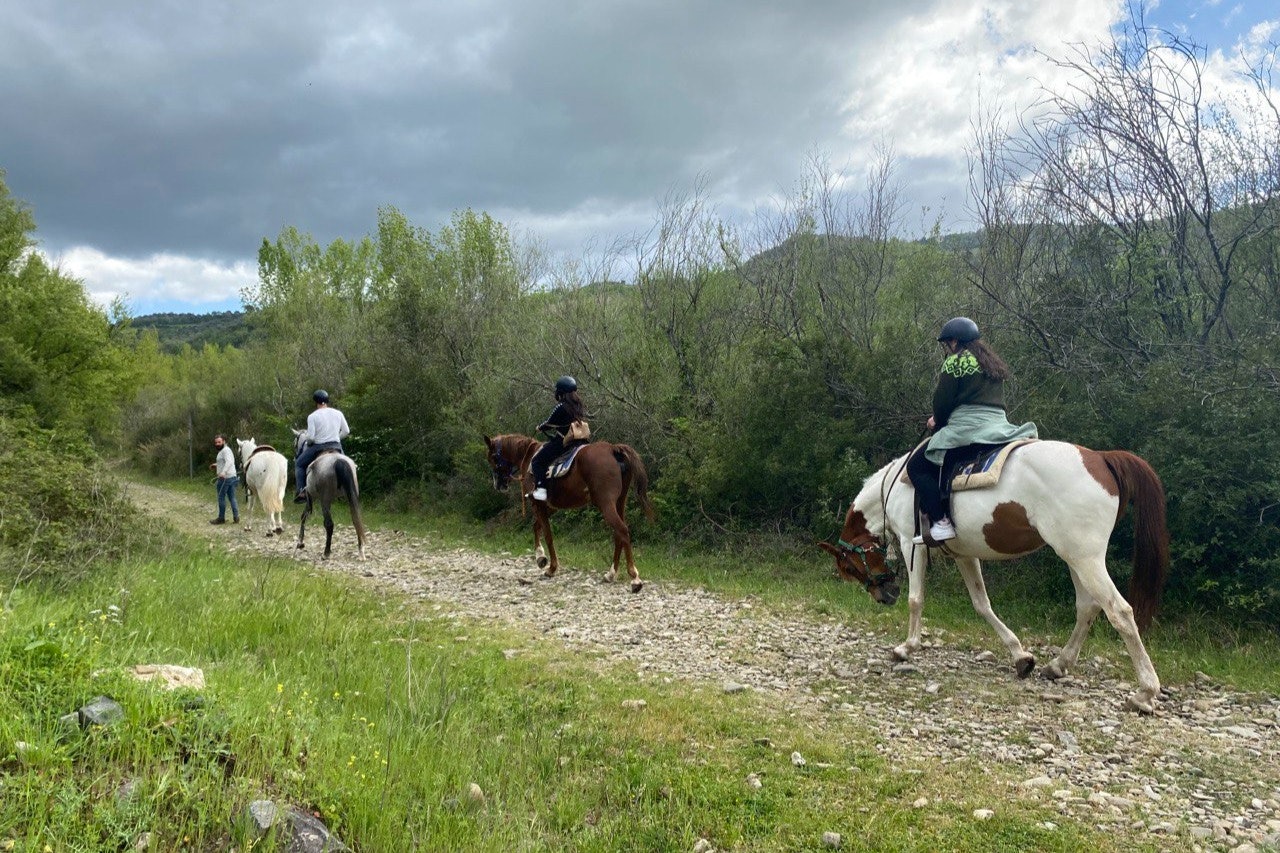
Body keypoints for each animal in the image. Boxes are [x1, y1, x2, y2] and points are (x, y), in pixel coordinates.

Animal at [292, 429, 367, 561]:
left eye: (295, 443)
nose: (296, 457)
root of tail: (338, 461)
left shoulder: (311, 496)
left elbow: (304, 516)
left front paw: (300, 543)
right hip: (351, 496)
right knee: (356, 519)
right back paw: (361, 550)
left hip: (324, 499)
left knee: (329, 524)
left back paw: (326, 552)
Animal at [484, 434, 655, 592]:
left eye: (493, 457)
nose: (498, 484)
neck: (528, 455)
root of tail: (613, 449)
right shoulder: (550, 506)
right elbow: (536, 526)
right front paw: (540, 558)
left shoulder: (538, 503)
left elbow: (548, 534)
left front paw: (551, 568)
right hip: (620, 502)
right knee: (618, 534)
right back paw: (610, 574)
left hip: (606, 503)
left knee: (622, 530)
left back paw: (635, 579)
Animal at [820, 440, 1170, 713]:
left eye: (850, 567)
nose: (884, 596)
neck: (894, 487)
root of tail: (1101, 458)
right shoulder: (964, 555)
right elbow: (982, 604)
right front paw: (1021, 656)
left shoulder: (912, 544)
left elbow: (916, 599)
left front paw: (906, 648)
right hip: (1075, 557)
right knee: (1088, 607)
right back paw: (1058, 665)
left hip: (1085, 558)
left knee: (1119, 611)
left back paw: (1144, 692)